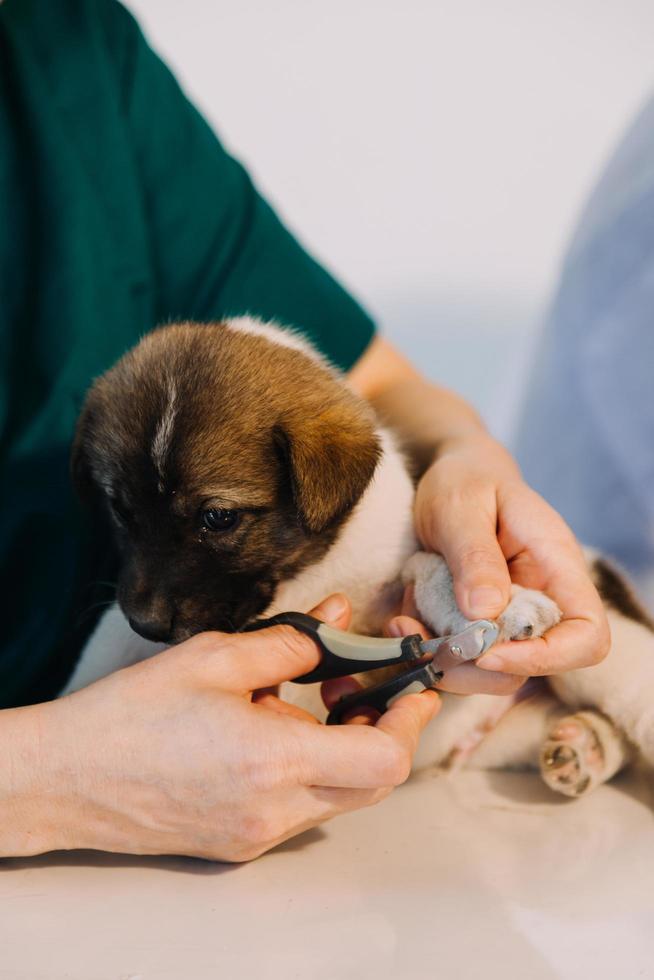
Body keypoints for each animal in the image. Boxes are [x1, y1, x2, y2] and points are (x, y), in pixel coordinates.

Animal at [65, 318, 654, 800]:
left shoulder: (397, 566)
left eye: (218, 518)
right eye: (119, 509)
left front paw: (504, 606)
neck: (307, 575)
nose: (145, 624)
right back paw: (583, 747)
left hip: (609, 666)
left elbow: (433, 567)